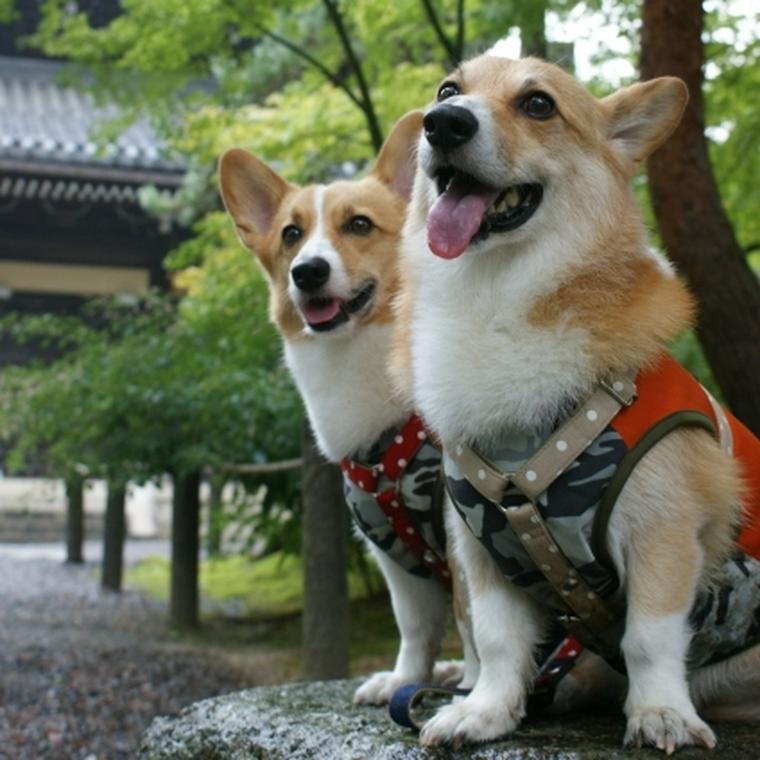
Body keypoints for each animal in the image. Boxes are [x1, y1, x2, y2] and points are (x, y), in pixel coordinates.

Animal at [217, 113, 472, 708]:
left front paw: (480, 693)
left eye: (359, 225)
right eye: (291, 235)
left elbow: (483, 624)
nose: (307, 272)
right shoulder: (394, 558)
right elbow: (414, 627)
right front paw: (405, 682)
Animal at [394, 55, 760, 756]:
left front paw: (661, 715)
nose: (443, 123)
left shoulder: (662, 533)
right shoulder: (482, 546)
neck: (495, 296)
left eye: (539, 104)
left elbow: (649, 637)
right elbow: (498, 640)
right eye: (448, 90)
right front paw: (485, 712)